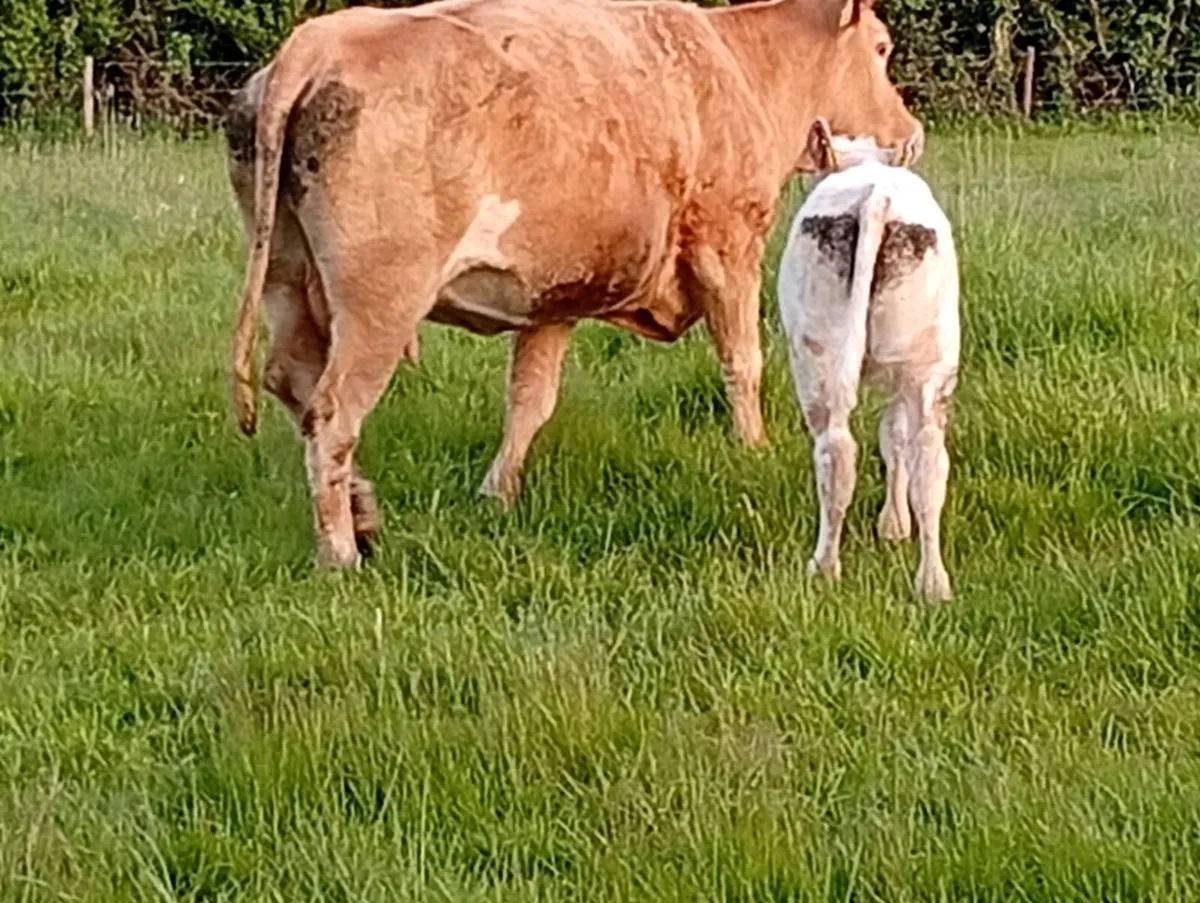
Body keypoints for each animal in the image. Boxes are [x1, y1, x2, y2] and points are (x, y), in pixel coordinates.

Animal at [224, 0, 924, 568]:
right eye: (881, 47)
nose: (911, 135)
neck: (743, 65)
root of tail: (317, 42)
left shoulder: (553, 294)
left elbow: (530, 400)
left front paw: (498, 494)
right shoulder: (727, 244)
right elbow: (743, 362)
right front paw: (752, 449)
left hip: (290, 281)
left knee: (291, 382)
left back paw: (363, 510)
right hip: (380, 304)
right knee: (332, 412)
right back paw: (341, 550)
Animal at [777, 119, 959, 600]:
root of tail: (875, 193)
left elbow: (889, 436)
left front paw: (891, 526)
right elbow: (894, 437)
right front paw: (894, 526)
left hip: (818, 354)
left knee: (838, 449)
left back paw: (824, 567)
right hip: (927, 360)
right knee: (927, 458)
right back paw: (933, 583)